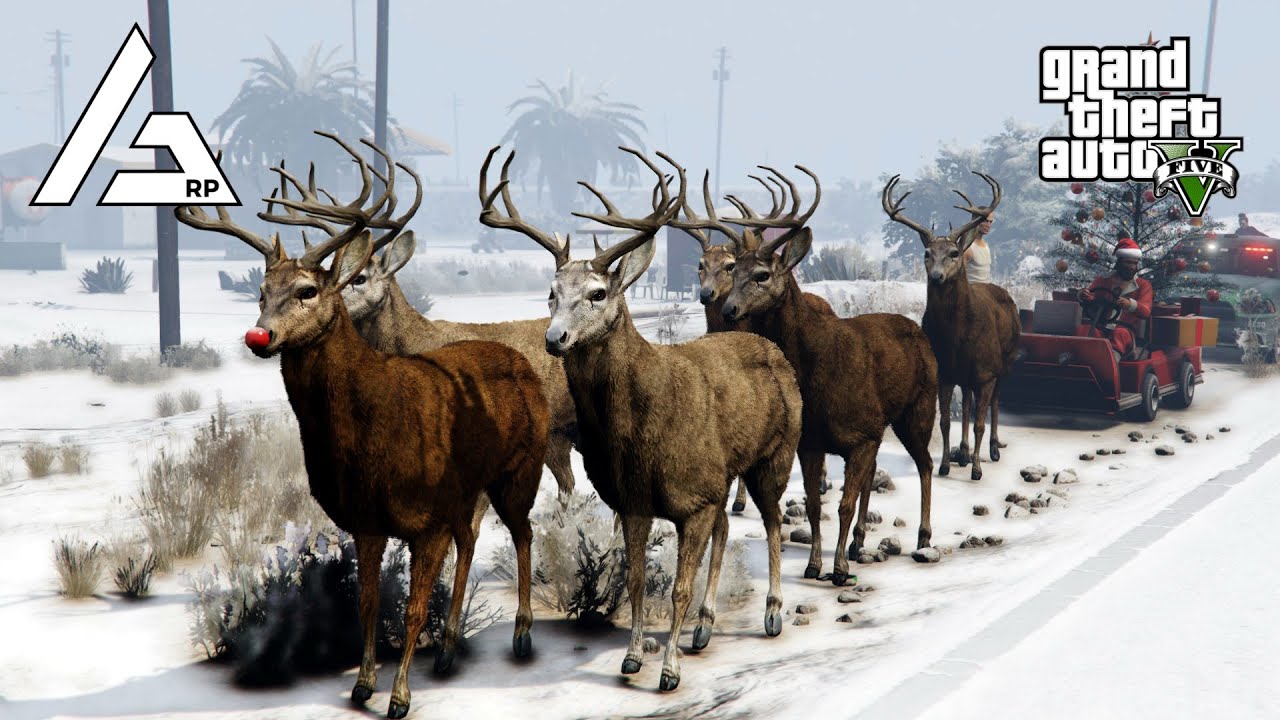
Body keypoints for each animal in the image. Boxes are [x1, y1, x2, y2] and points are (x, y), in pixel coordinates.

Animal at [176, 140, 548, 720]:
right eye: (260, 291)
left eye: (308, 290)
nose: (259, 335)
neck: (369, 434)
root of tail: (520, 359)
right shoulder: (366, 519)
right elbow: (368, 603)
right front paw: (362, 686)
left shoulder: (426, 515)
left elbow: (413, 608)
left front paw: (399, 697)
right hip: (465, 489)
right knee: (472, 540)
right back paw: (447, 652)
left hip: (519, 469)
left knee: (524, 533)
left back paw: (522, 637)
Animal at [480, 146, 802, 693]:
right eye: (550, 291)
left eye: (597, 293)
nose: (554, 338)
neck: (642, 426)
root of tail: (774, 349)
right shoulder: (635, 500)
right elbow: (631, 579)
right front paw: (631, 658)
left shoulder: (694, 498)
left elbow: (676, 588)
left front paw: (669, 671)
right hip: (724, 474)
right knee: (727, 528)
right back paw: (704, 628)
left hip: (776, 455)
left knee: (773, 519)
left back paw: (773, 613)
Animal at [720, 165, 938, 587]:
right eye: (732, 270)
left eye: (762, 274)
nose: (728, 308)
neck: (818, 371)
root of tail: (920, 331)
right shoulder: (812, 440)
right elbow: (813, 503)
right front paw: (813, 565)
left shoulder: (862, 433)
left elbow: (844, 505)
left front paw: (837, 570)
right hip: (884, 424)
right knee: (877, 475)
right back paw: (858, 543)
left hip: (919, 408)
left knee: (925, 464)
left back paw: (923, 535)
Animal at [882, 172, 1020, 481]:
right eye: (927, 252)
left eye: (955, 253)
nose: (936, 276)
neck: (957, 338)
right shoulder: (943, 372)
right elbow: (945, 421)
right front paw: (945, 465)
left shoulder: (987, 372)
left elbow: (980, 422)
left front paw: (978, 470)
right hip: (965, 374)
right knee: (966, 402)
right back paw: (964, 453)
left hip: (1005, 362)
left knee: (994, 404)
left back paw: (993, 449)